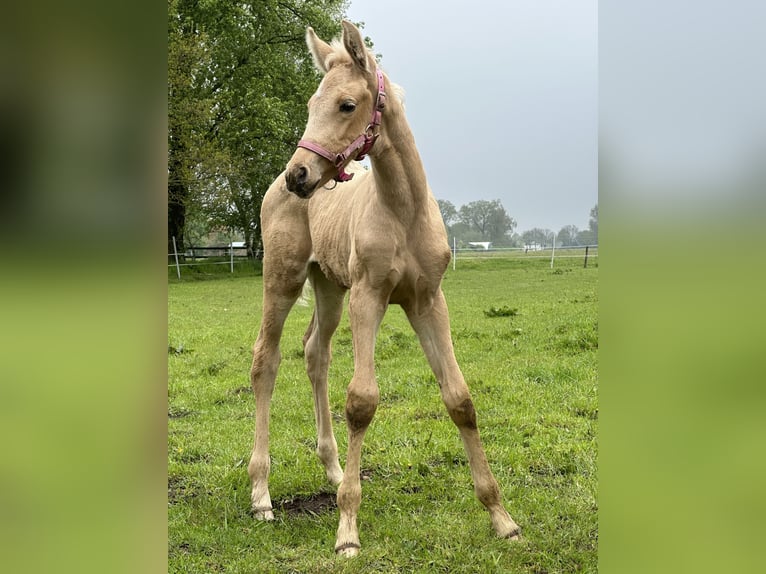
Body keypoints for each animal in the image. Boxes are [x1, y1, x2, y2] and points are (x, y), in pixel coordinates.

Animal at [249, 22, 524, 560]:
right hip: (285, 278)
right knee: (265, 361)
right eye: (311, 103)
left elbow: (459, 398)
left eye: (346, 105)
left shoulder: (427, 301)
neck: (403, 211)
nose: (299, 175)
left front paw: (501, 518)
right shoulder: (369, 297)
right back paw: (262, 495)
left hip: (329, 287)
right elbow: (361, 401)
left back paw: (334, 470)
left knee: (315, 353)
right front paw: (347, 530)